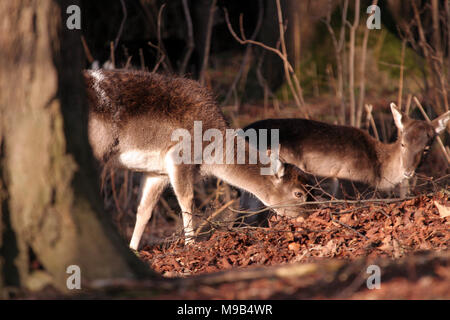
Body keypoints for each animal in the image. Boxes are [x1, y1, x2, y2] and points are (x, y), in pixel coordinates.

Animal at [83, 69, 310, 250]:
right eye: (299, 193)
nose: (306, 217)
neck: (212, 155)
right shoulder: (179, 155)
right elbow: (187, 200)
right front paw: (191, 244)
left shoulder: (157, 172)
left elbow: (144, 211)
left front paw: (133, 249)